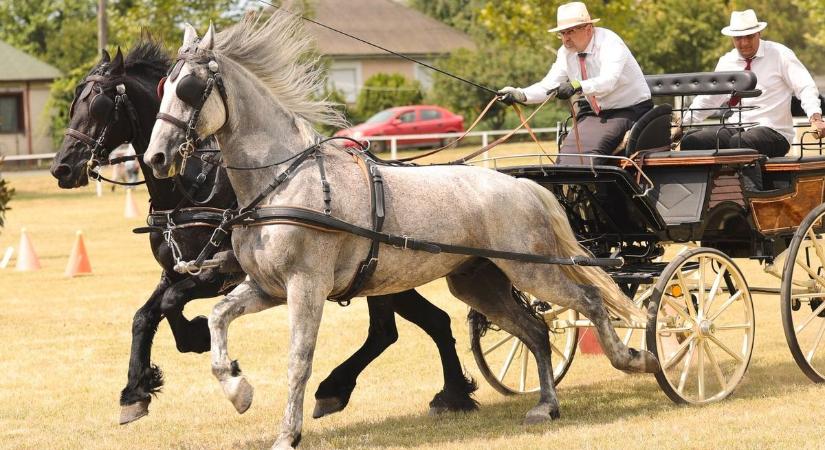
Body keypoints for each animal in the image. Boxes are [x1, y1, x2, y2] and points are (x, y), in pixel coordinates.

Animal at [50, 42, 476, 426]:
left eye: (100, 103)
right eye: (74, 103)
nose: (62, 168)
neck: (190, 190)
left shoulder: (217, 274)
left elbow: (170, 306)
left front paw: (198, 337)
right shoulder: (175, 271)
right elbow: (145, 316)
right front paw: (135, 392)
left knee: (398, 329)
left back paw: (355, 389)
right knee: (423, 324)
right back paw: (444, 393)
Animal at [142, 11, 656, 450]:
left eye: (189, 88)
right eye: (164, 86)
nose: (156, 157)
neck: (284, 181)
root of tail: (522, 185)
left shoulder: (306, 287)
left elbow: (298, 360)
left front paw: (288, 433)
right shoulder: (267, 287)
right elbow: (217, 317)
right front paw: (238, 389)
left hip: (532, 272)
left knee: (589, 301)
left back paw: (635, 359)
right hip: (479, 282)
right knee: (535, 329)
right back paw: (546, 406)